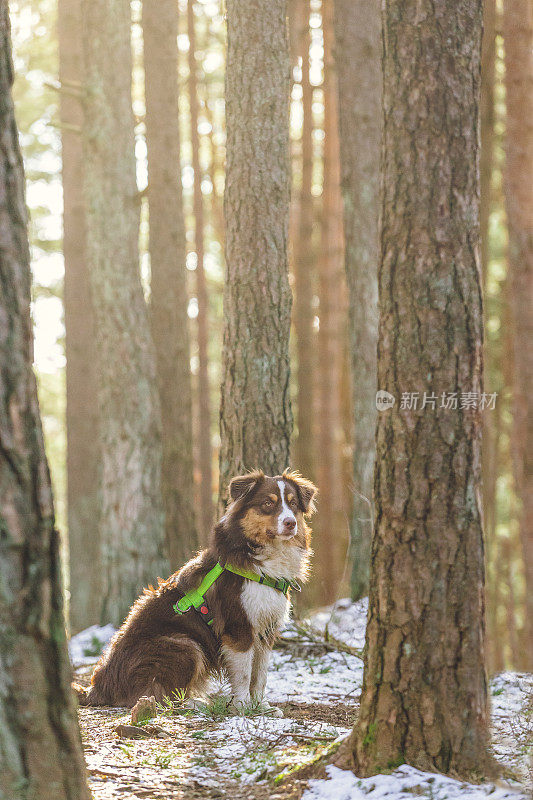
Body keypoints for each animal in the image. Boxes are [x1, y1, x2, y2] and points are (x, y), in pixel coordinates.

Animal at [74, 468, 316, 712]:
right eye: (268, 503)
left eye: (293, 503)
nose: (290, 523)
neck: (263, 560)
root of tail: (98, 687)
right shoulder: (238, 627)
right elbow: (244, 674)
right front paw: (241, 707)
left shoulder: (266, 629)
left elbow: (261, 674)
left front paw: (262, 706)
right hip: (185, 644)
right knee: (154, 695)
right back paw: (196, 703)